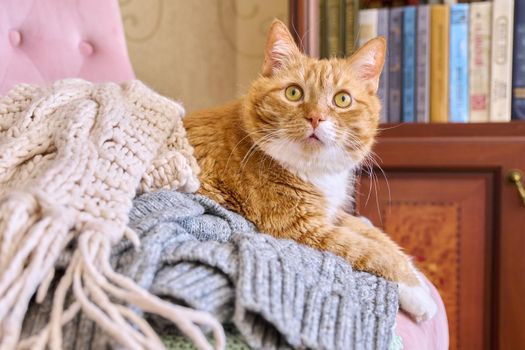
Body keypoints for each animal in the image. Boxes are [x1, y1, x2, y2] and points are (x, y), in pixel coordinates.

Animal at [184, 19, 438, 322]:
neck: (314, 172)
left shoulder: (334, 214)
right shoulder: (301, 228)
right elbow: (365, 249)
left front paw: (415, 273)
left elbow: (379, 237)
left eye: (342, 99)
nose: (316, 117)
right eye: (293, 92)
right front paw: (416, 290)